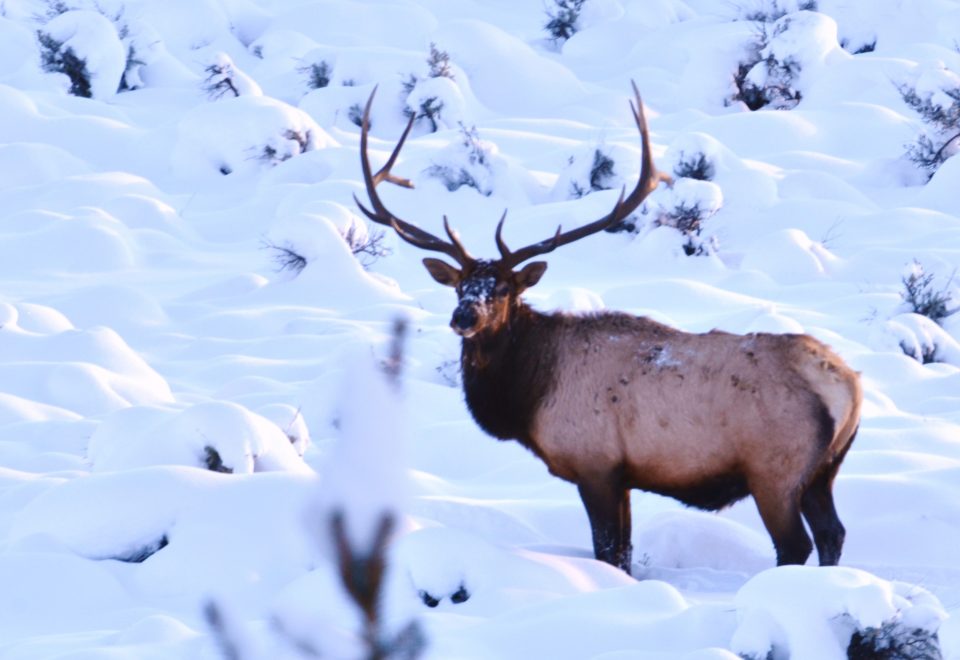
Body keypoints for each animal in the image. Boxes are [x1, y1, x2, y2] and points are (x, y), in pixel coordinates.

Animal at [354, 83, 862, 574]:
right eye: (460, 287)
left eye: (501, 290)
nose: (463, 318)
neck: (529, 392)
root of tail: (847, 386)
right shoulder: (624, 477)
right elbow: (623, 552)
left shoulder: (596, 465)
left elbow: (609, 552)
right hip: (823, 471)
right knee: (833, 533)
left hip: (775, 471)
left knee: (794, 544)